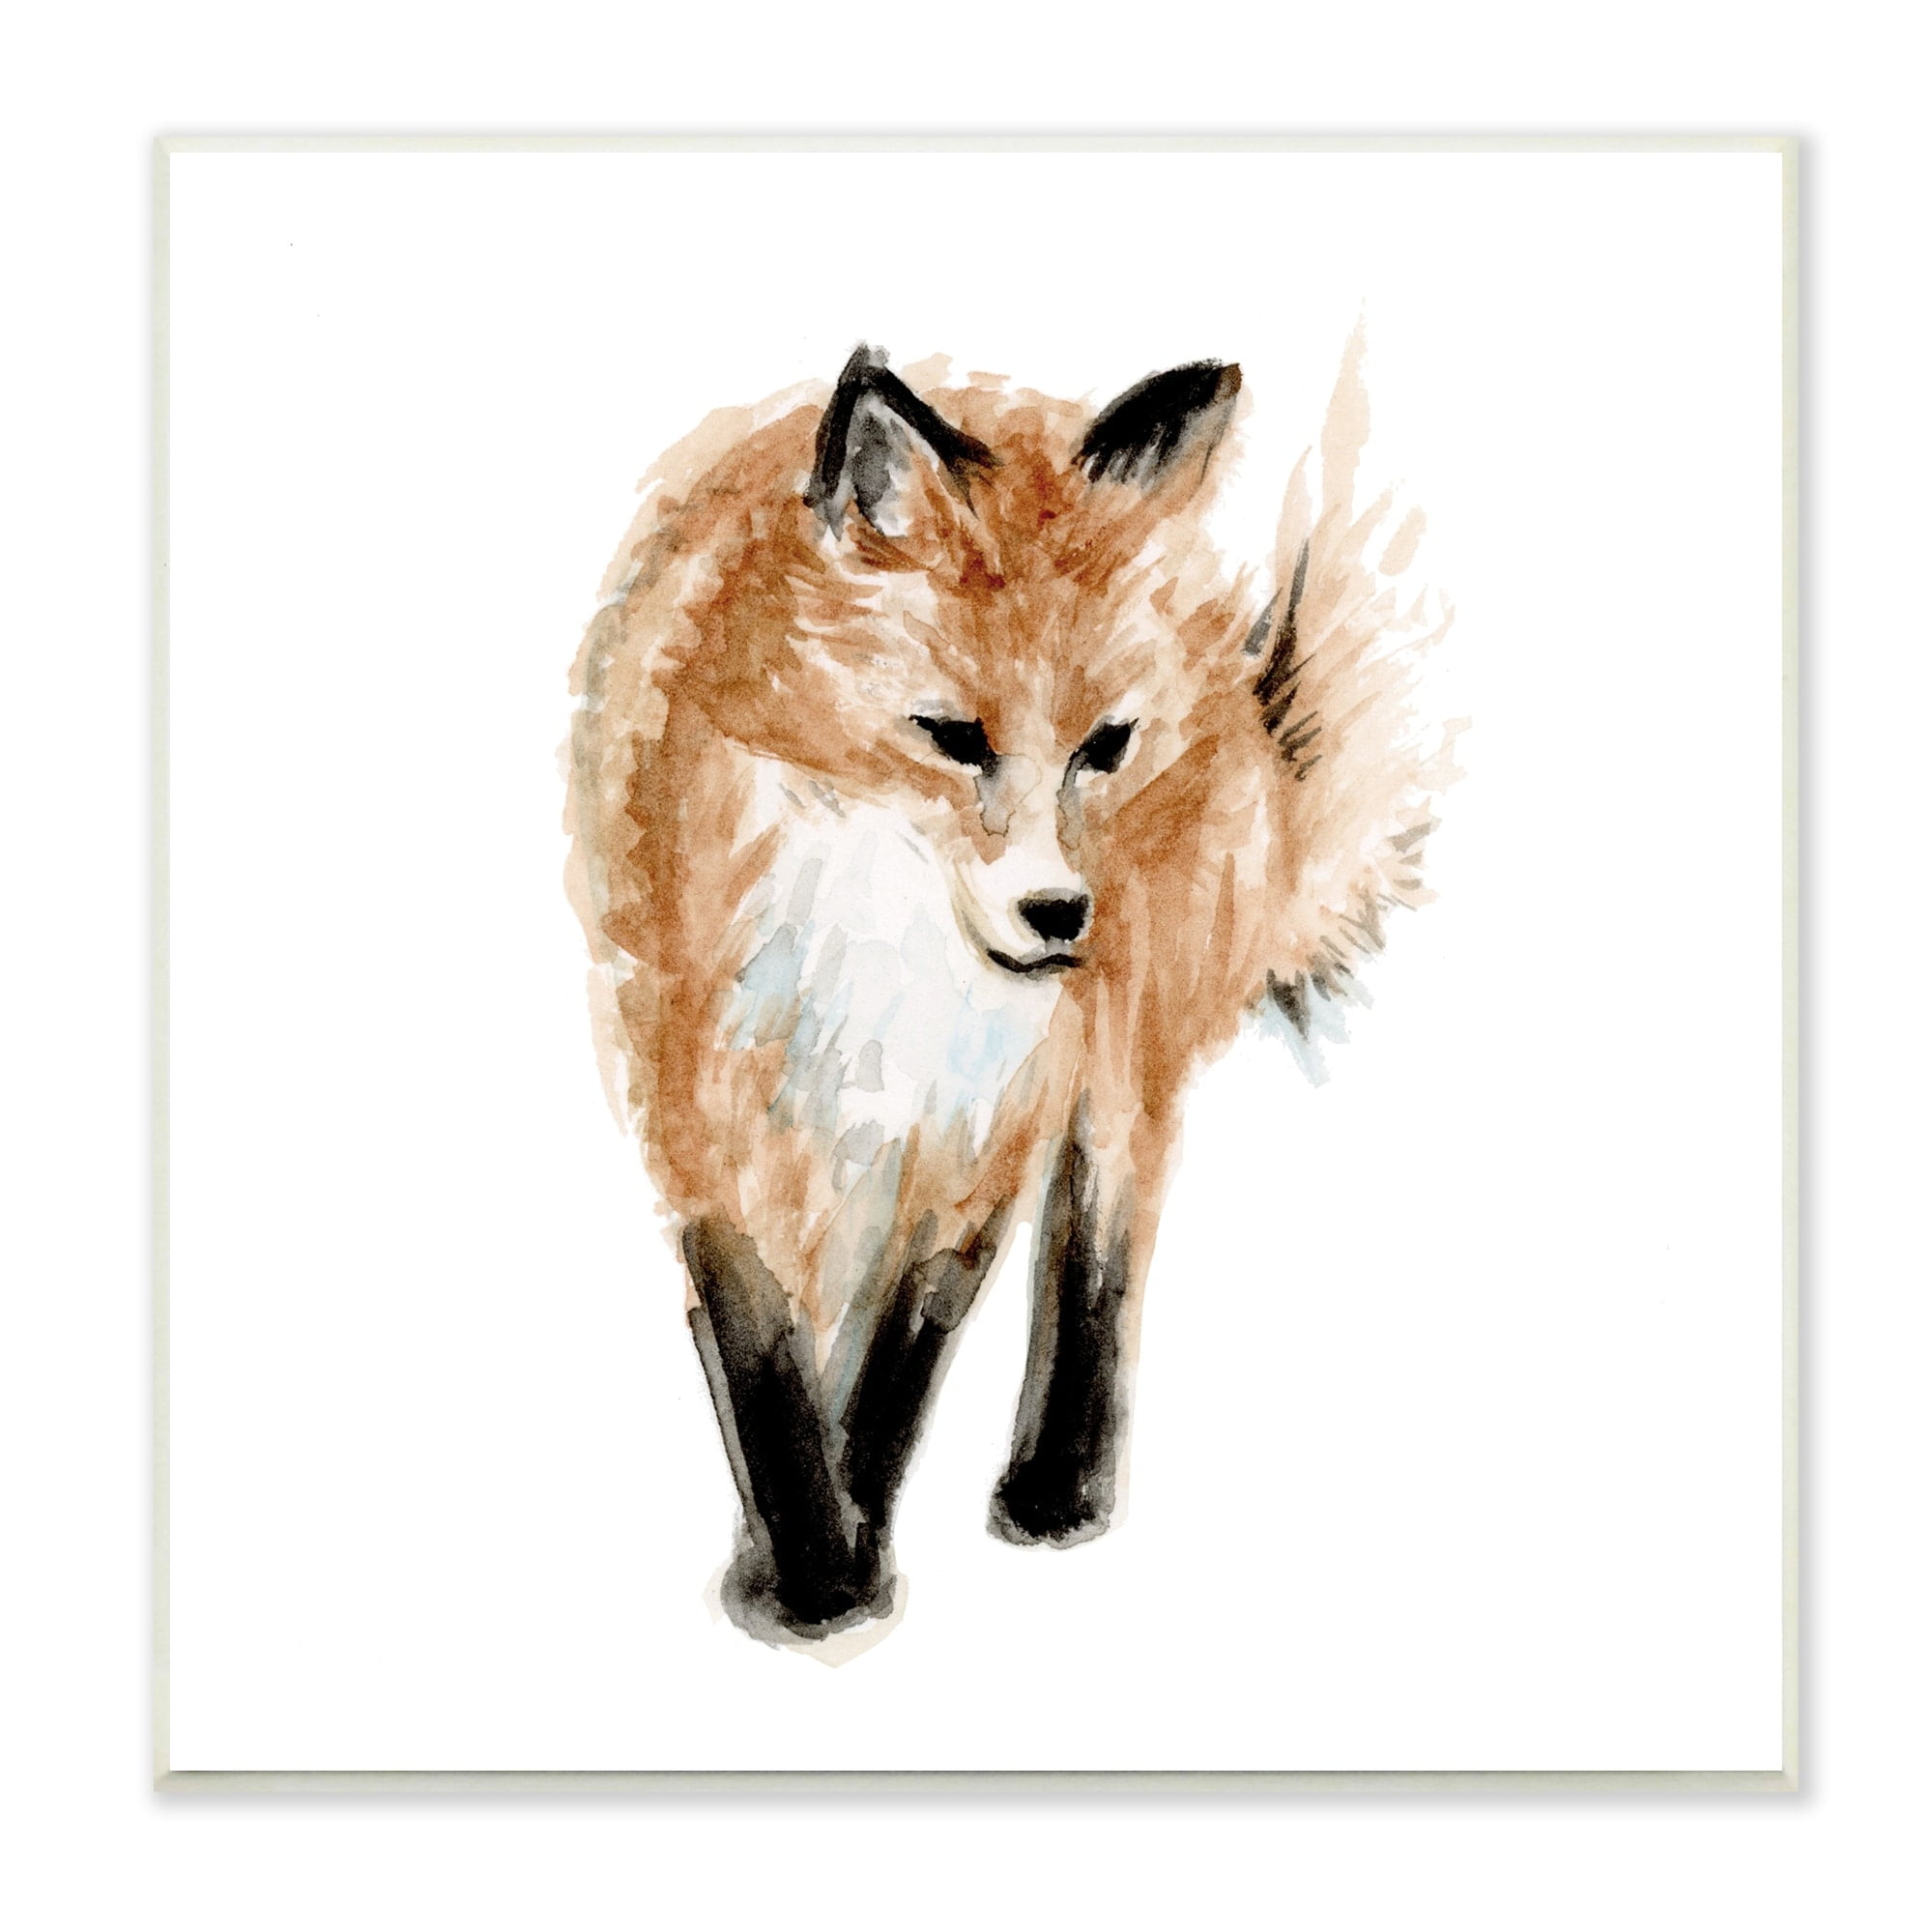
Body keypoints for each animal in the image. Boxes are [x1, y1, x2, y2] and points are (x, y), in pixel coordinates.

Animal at [566, 338, 1451, 1647]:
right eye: (951, 735)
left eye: (1104, 746)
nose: (1058, 915)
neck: (887, 952)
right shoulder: (696, 1098)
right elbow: (765, 1355)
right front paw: (808, 1563)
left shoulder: (985, 1126)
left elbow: (901, 1361)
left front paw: (847, 1554)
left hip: (1123, 1049)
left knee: (1101, 1235)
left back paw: (1059, 1479)